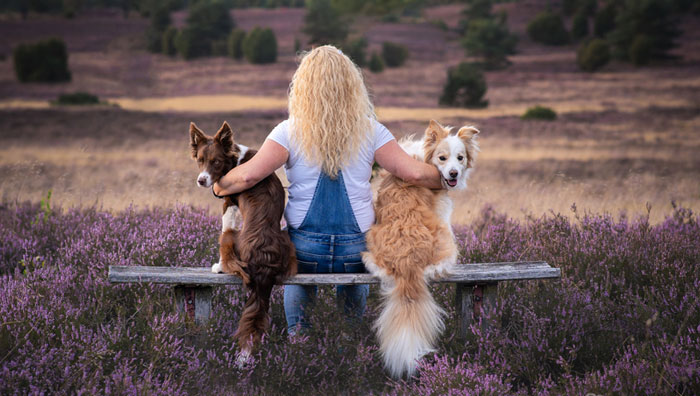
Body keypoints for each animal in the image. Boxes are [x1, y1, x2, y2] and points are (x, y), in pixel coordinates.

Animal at [189, 122, 296, 364]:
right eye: (200, 159)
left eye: (215, 162)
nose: (201, 180)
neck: (234, 159)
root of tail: (264, 259)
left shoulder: (229, 204)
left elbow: (226, 222)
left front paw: (218, 266)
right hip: (287, 239)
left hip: (230, 236)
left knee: (231, 256)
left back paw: (221, 267)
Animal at [360, 120, 482, 378]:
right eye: (442, 158)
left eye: (460, 158)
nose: (454, 174)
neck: (424, 158)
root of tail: (408, 263)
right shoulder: (443, 211)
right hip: (449, 242)